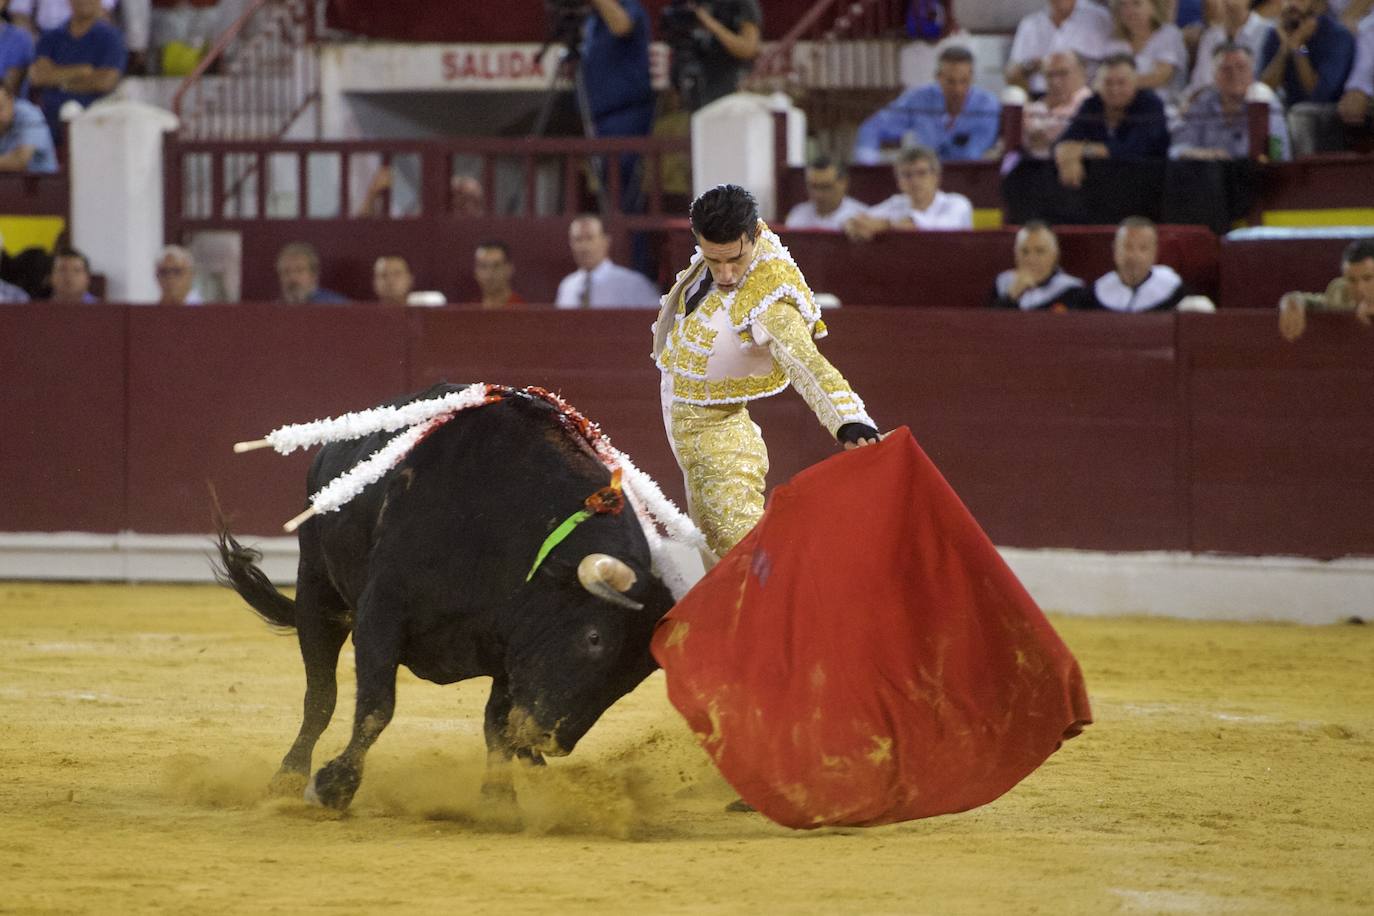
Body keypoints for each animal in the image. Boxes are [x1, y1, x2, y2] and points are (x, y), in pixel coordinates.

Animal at [212, 384, 676, 813]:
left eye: (633, 678)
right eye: (594, 638)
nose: (552, 740)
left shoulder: (513, 646)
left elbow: (496, 725)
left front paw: (499, 801)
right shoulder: (380, 614)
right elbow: (376, 706)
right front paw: (333, 787)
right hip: (317, 587)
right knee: (320, 695)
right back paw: (287, 779)